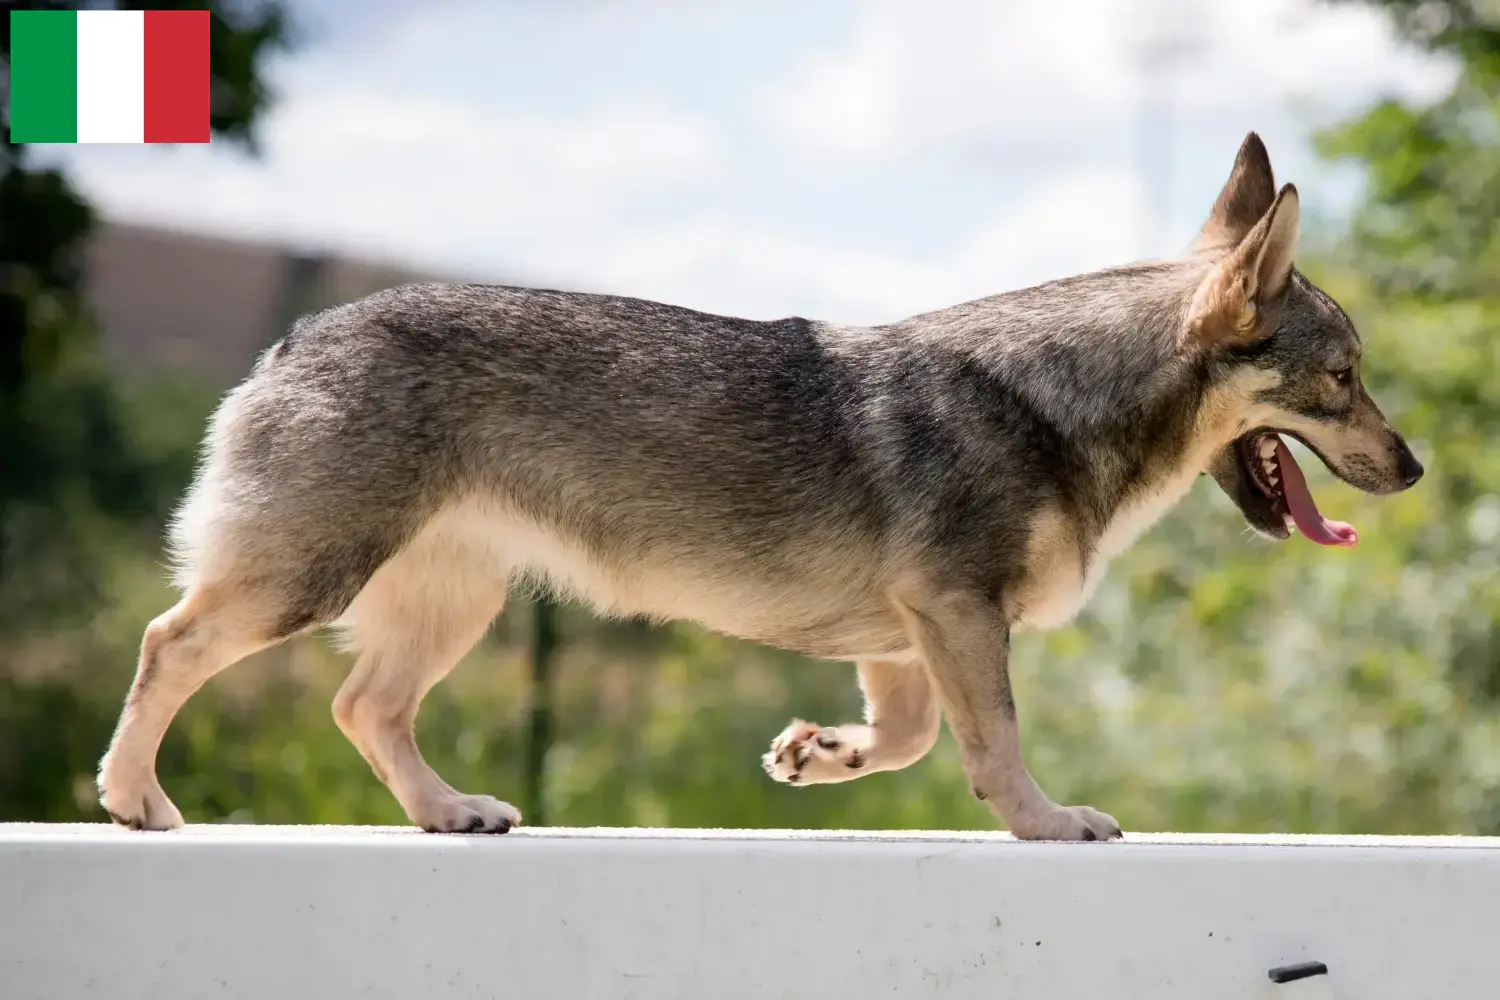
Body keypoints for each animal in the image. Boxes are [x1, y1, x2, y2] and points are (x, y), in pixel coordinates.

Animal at [99, 131, 1422, 839]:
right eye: (1346, 380)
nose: (1412, 467)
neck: (1062, 396)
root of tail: (297, 338)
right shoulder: (958, 616)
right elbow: (993, 743)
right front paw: (1046, 821)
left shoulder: (911, 637)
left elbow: (907, 740)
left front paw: (817, 754)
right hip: (308, 582)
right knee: (170, 643)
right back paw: (133, 797)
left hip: (446, 607)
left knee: (362, 709)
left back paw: (446, 809)